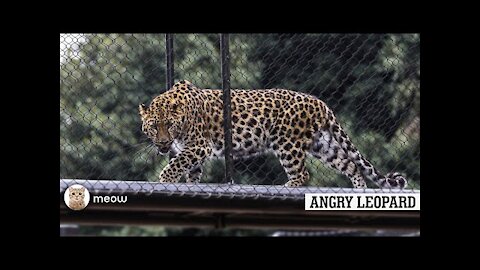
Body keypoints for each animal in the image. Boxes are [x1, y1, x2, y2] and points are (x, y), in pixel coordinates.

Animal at [138, 79, 404, 189]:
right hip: (323, 145)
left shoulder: (199, 146)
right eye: (153, 126)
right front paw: (189, 184)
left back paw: (290, 185)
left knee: (303, 173)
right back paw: (359, 188)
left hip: (287, 143)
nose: (163, 142)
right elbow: (190, 170)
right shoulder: (190, 150)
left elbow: (176, 164)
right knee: (350, 164)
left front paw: (165, 180)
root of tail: (320, 103)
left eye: (169, 125)